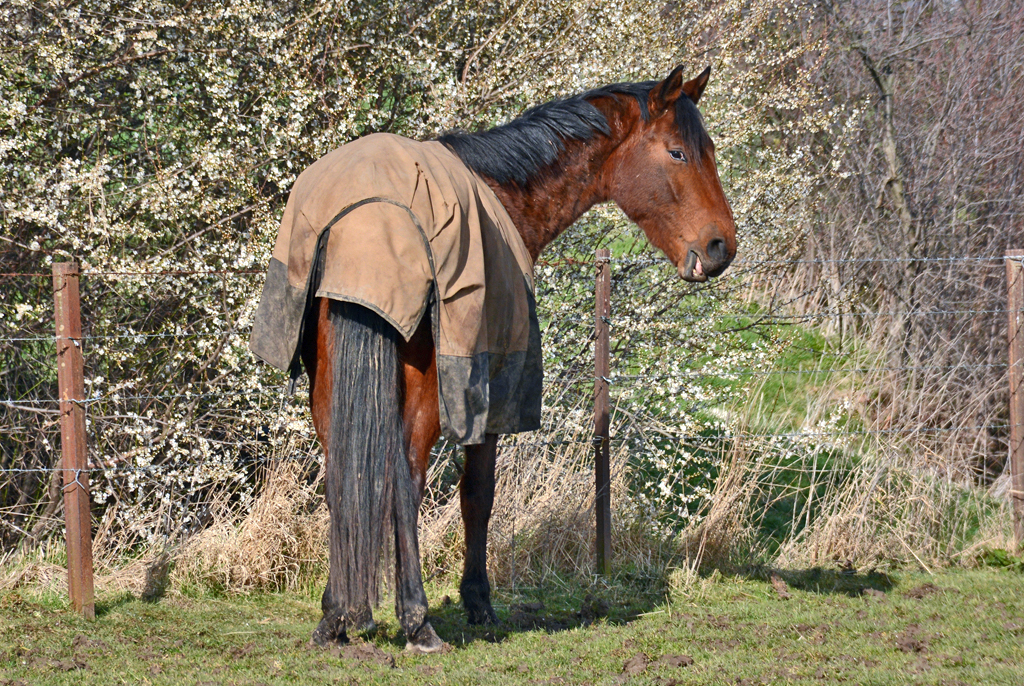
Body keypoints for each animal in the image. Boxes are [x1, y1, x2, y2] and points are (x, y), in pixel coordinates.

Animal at [296, 67, 737, 651]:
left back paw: (335, 617)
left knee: (342, 477)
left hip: (330, 384)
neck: (502, 192)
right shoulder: (487, 394)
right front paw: (477, 601)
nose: (721, 247)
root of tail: (372, 218)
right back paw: (416, 620)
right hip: (424, 392)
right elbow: (477, 495)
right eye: (678, 153)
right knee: (404, 478)